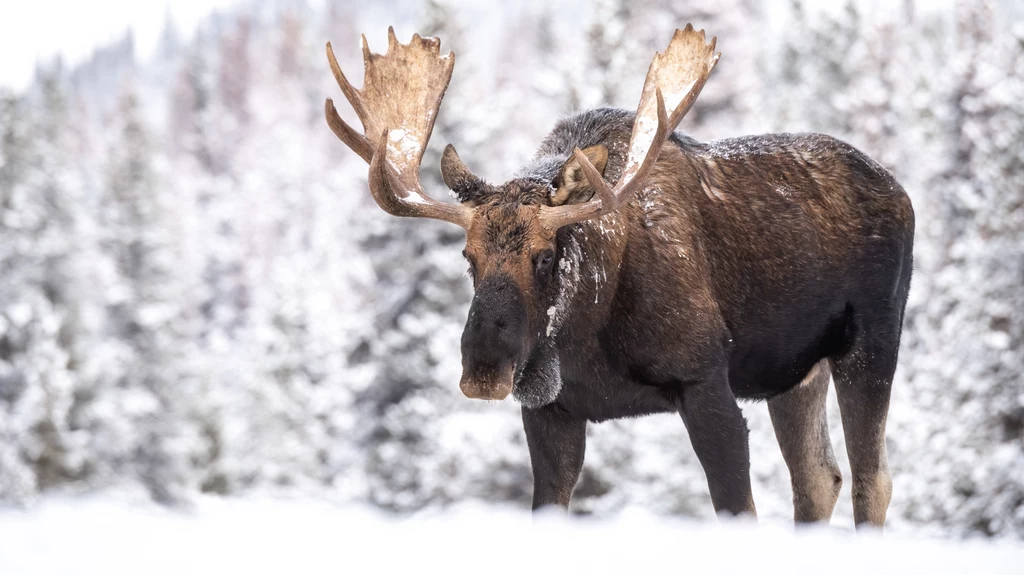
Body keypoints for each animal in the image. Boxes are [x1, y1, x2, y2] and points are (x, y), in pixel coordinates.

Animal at [323, 24, 917, 527]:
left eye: (545, 255)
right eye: (468, 257)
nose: (485, 368)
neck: (590, 332)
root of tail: (902, 192)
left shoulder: (705, 382)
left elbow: (738, 509)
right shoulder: (550, 411)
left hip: (871, 344)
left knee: (871, 481)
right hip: (793, 375)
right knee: (818, 479)